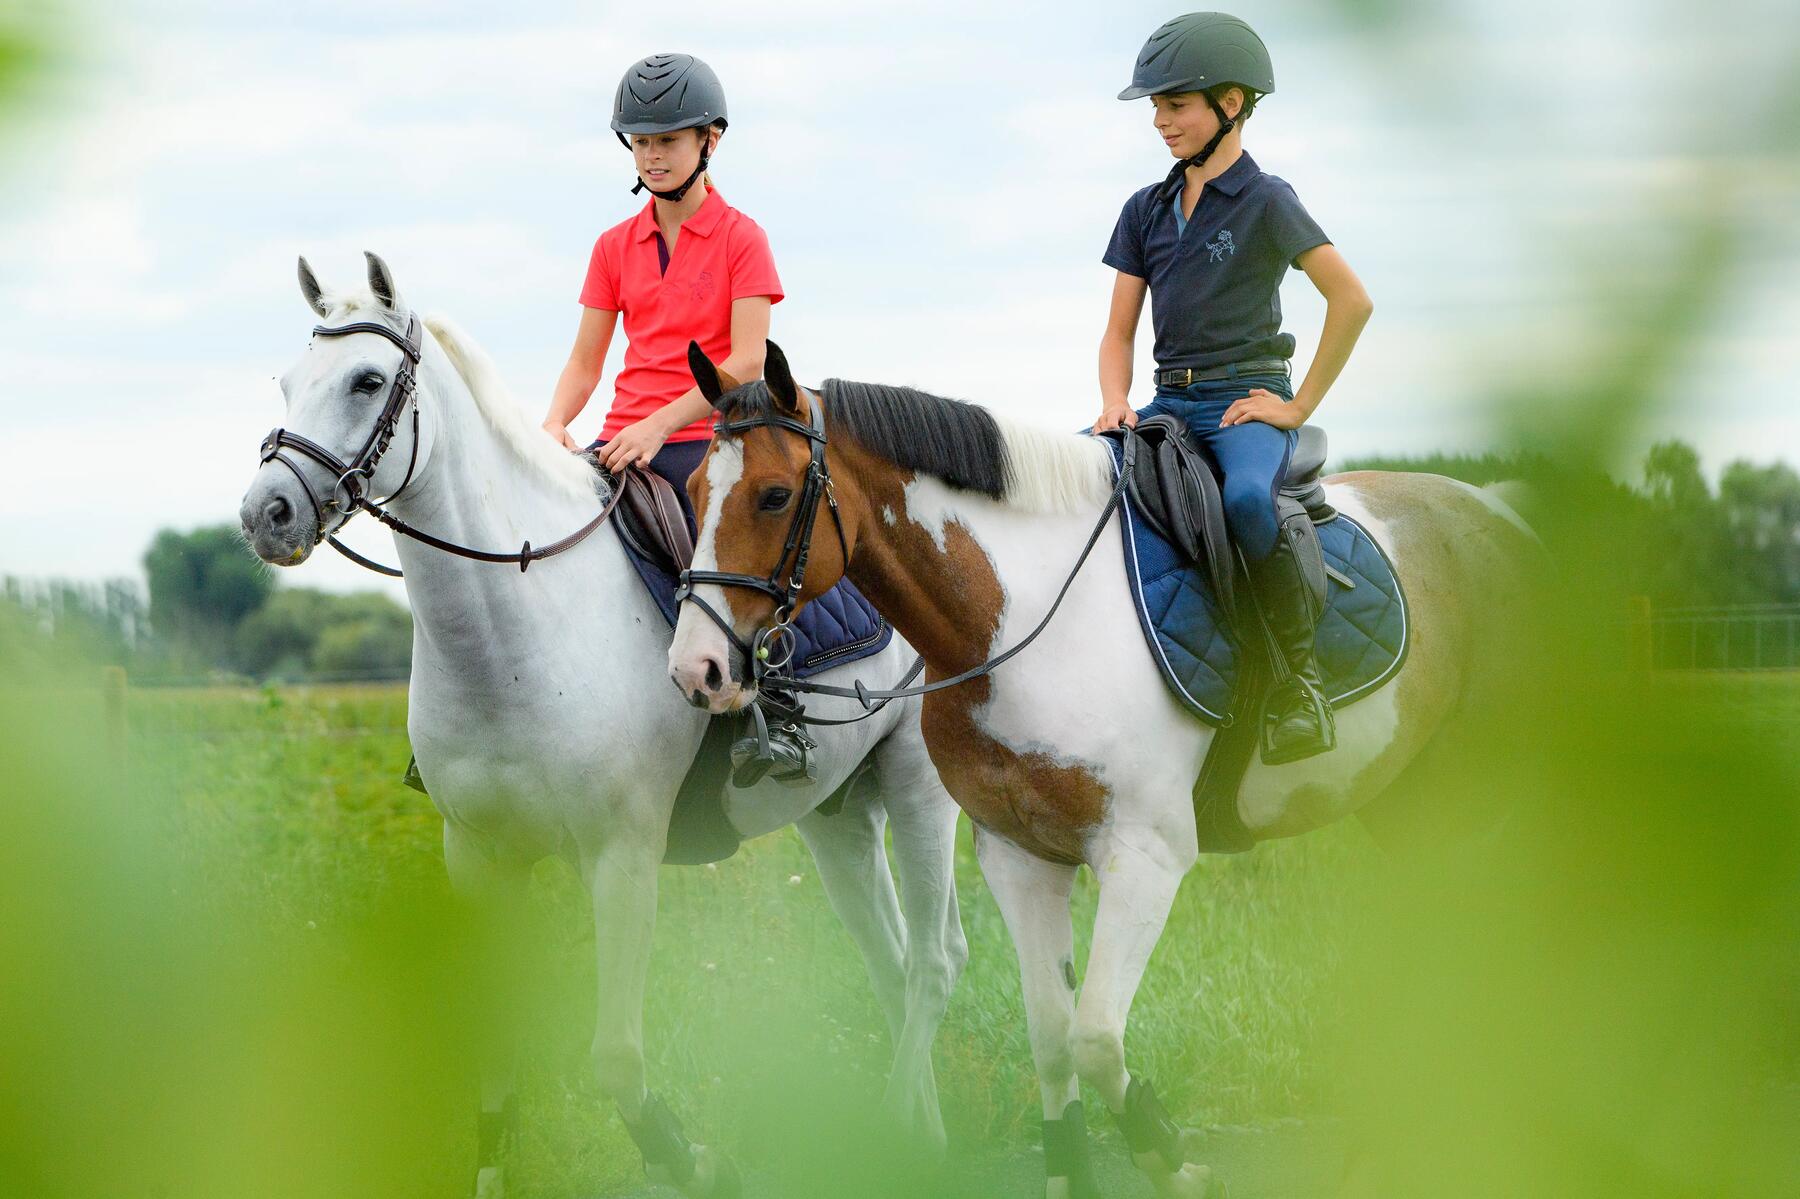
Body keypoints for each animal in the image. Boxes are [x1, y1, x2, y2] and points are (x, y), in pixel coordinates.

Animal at [244, 253, 972, 1195]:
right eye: (288, 381)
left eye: (367, 380)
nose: (266, 513)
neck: (511, 630)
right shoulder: (479, 857)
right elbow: (494, 1055)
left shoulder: (620, 858)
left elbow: (617, 1060)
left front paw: (692, 1161)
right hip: (838, 813)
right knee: (890, 960)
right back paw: (915, 1142)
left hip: (919, 790)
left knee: (932, 961)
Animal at [669, 343, 1540, 1195]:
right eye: (693, 489)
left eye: (774, 495)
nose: (696, 668)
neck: (1014, 621)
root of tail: (1501, 515)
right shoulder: (1019, 856)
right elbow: (1054, 1038)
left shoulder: (1144, 857)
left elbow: (1094, 1038)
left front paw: (1172, 1159)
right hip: (1412, 805)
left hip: (1474, 805)